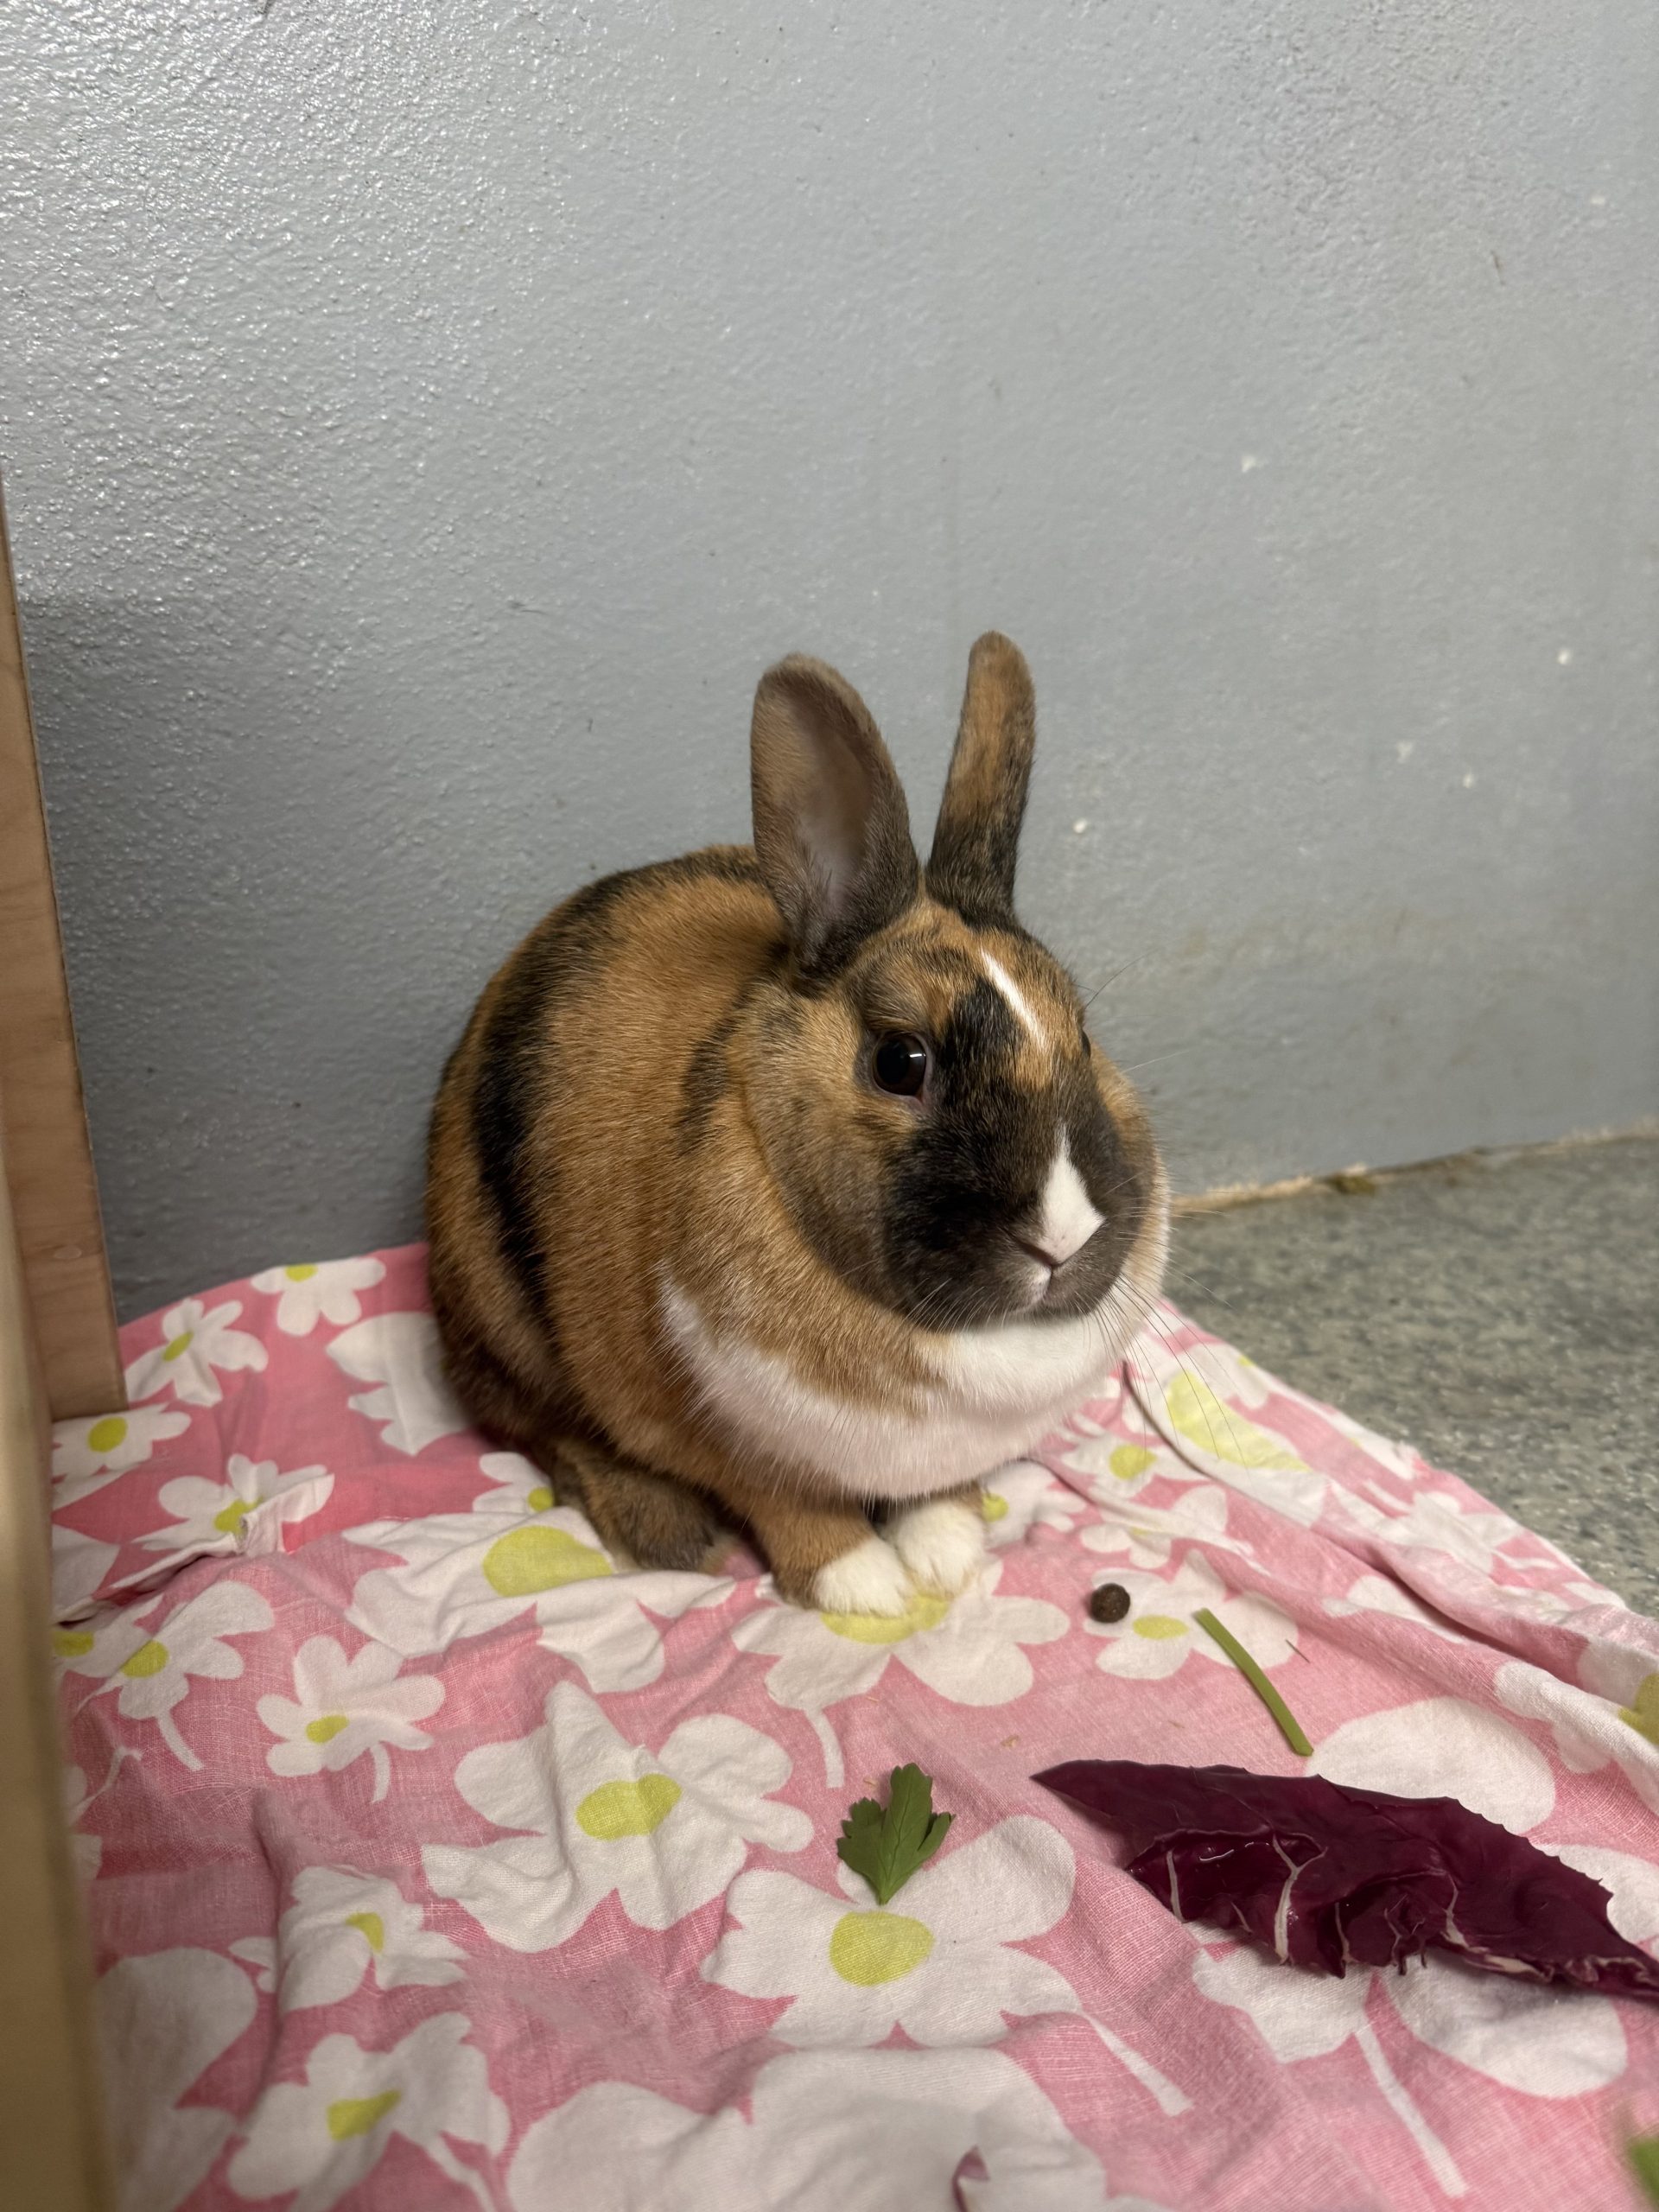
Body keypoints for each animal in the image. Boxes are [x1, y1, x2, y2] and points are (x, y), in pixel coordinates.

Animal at [426, 633, 1167, 1615]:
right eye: (900, 1061)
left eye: (1083, 1034)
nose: (1064, 1236)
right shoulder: (722, 1442)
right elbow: (790, 1508)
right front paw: (866, 1587)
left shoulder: (942, 1456)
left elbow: (941, 1493)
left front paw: (946, 1555)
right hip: (500, 1314)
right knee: (544, 1427)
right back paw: (671, 1532)